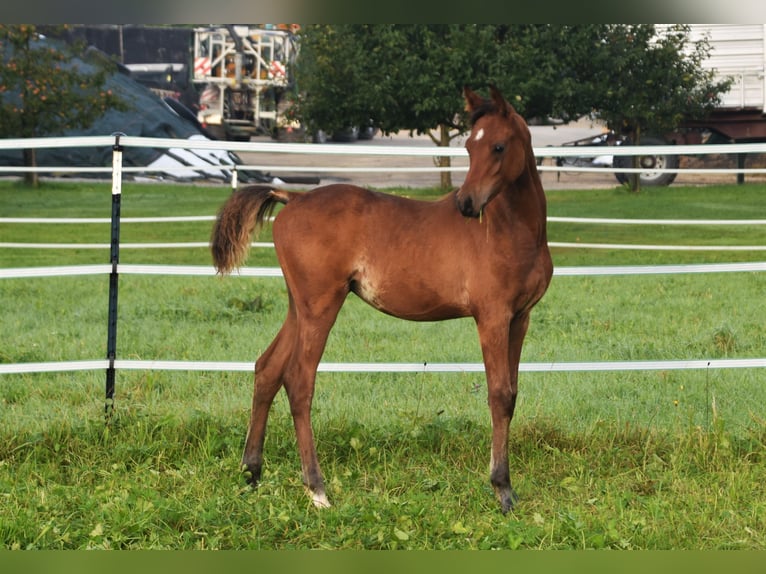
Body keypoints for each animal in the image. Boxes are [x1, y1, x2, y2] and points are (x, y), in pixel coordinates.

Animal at [210, 86, 553, 513]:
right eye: (470, 148)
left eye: (498, 146)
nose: (466, 204)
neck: (511, 229)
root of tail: (292, 197)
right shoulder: (492, 317)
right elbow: (499, 395)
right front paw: (502, 489)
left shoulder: (520, 318)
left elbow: (513, 394)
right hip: (322, 306)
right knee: (299, 380)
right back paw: (316, 488)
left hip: (299, 306)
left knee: (267, 368)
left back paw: (251, 472)